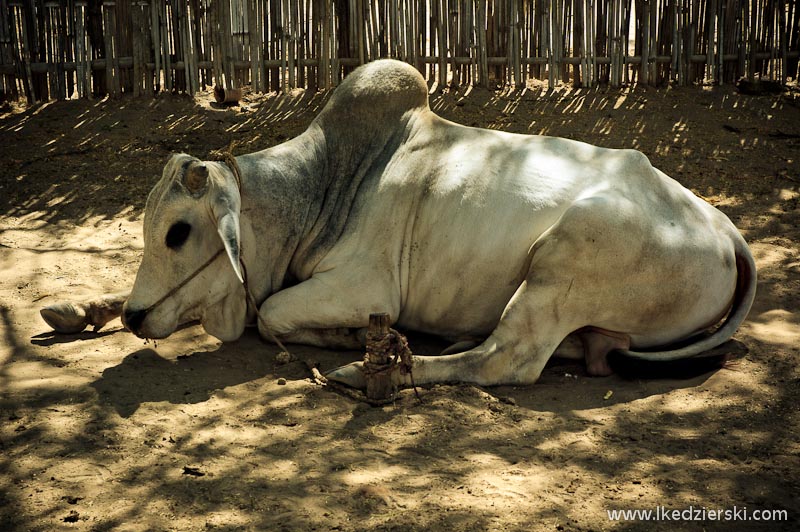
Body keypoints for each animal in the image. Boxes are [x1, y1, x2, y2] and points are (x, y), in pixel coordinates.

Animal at [43, 60, 756, 388]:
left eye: (179, 232)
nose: (137, 317)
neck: (322, 187)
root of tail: (725, 229)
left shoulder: (365, 286)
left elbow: (270, 312)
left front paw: (344, 339)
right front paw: (81, 307)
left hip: (564, 260)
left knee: (507, 360)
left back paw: (373, 371)